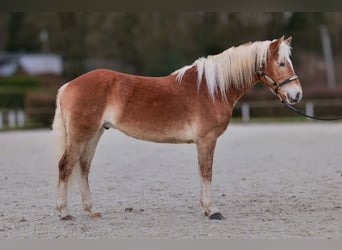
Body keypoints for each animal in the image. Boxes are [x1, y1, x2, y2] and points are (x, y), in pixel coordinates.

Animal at [52, 35, 302, 221]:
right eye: (281, 63)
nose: (297, 94)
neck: (212, 88)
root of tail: (68, 85)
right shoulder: (207, 139)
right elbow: (206, 172)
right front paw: (213, 211)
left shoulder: (203, 142)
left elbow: (202, 172)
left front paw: (205, 208)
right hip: (81, 136)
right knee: (65, 166)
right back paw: (64, 212)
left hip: (94, 134)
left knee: (83, 167)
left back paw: (91, 210)